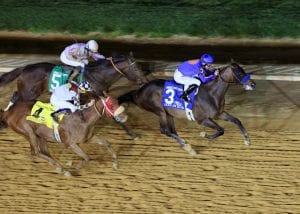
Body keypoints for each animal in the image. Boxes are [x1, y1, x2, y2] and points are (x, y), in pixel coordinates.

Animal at [117, 62, 255, 155]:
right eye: (239, 72)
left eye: (243, 70)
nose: (252, 84)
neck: (211, 93)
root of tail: (139, 92)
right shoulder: (202, 119)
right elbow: (221, 130)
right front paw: (205, 135)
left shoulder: (219, 113)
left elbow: (237, 121)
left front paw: (247, 140)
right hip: (160, 111)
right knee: (165, 131)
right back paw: (188, 147)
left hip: (168, 113)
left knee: (172, 131)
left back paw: (185, 146)